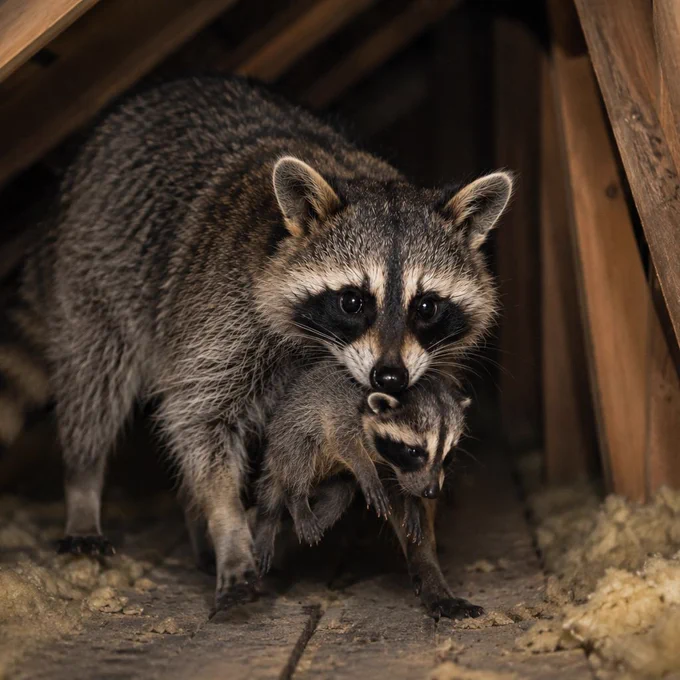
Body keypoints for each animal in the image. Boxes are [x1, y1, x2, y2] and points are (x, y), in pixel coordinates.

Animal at [254, 362, 476, 618]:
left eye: (448, 456)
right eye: (414, 452)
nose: (430, 492)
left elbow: (399, 481)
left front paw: (411, 501)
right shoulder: (339, 411)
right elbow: (345, 442)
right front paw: (367, 472)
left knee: (338, 496)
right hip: (287, 435)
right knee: (298, 456)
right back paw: (295, 500)